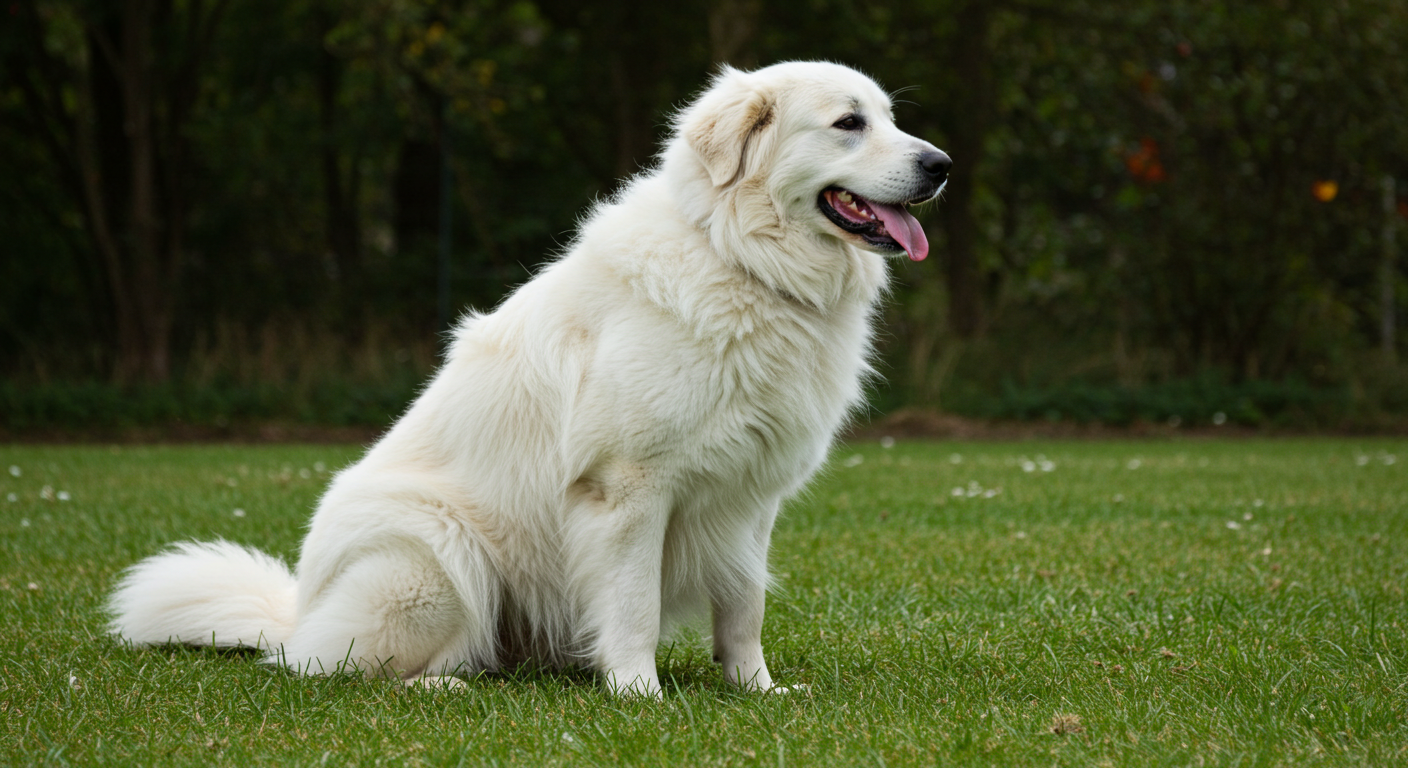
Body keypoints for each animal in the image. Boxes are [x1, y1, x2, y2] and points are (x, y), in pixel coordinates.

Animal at [107, 59, 946, 693]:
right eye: (848, 123)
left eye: (889, 117)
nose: (939, 165)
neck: (741, 260)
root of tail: (299, 609)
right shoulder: (630, 488)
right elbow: (635, 606)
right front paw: (639, 693)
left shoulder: (749, 500)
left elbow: (743, 610)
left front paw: (756, 691)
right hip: (438, 559)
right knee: (333, 668)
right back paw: (445, 685)